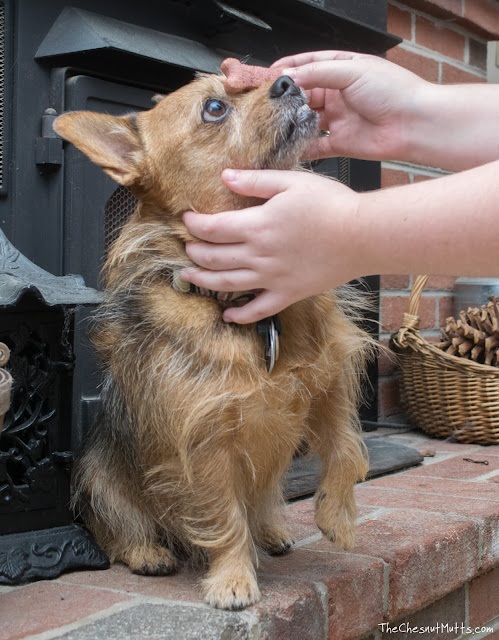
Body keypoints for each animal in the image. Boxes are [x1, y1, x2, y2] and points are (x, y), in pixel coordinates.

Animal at [54, 69, 374, 608]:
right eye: (214, 108)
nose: (288, 80)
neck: (255, 308)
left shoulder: (331, 386)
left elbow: (346, 447)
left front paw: (336, 516)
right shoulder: (204, 445)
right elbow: (224, 515)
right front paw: (232, 578)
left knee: (262, 503)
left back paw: (271, 531)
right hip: (97, 478)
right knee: (114, 528)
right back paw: (147, 552)